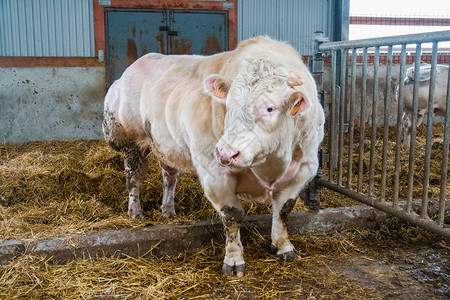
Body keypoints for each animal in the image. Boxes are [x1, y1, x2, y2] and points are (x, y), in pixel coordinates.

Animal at [103, 36, 326, 278]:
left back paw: (168, 210)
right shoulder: (214, 173)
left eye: (270, 108)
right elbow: (232, 215)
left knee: (169, 177)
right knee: (134, 179)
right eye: (228, 105)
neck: (271, 164)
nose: (226, 152)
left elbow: (284, 209)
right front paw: (234, 262)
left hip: (167, 146)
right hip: (131, 142)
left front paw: (285, 247)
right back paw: (135, 213)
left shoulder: (304, 168)